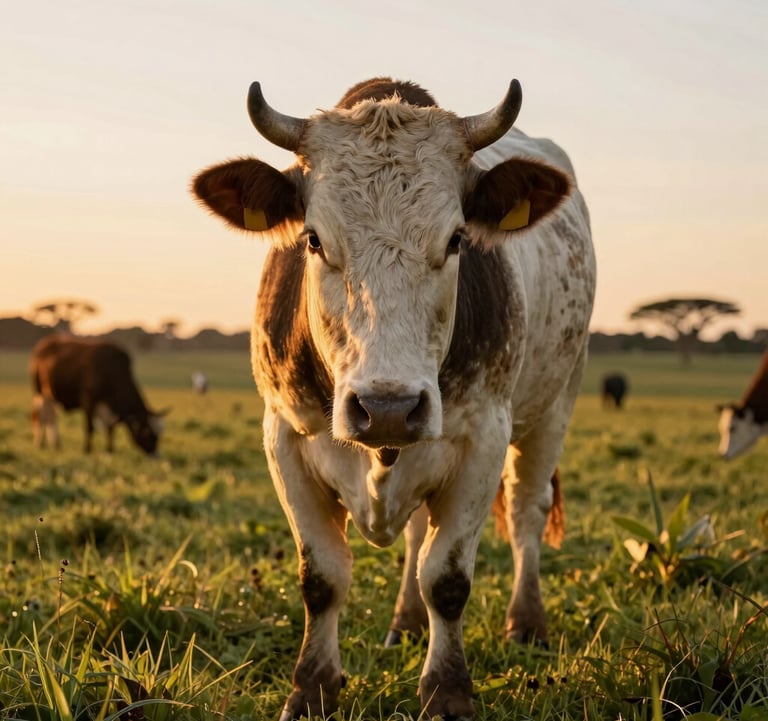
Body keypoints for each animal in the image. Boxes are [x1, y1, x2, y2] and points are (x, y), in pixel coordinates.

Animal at [30, 334, 166, 455]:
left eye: (159, 434)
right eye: (148, 433)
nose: (156, 455)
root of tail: (43, 344)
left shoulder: (106, 407)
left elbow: (110, 428)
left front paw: (110, 450)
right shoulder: (88, 400)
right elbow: (90, 427)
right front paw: (87, 450)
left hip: (51, 395)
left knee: (50, 417)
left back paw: (55, 445)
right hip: (40, 393)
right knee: (43, 417)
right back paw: (42, 444)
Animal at [192, 77, 595, 720]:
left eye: (456, 239)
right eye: (313, 239)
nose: (386, 408)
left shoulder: (483, 438)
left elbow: (447, 578)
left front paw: (447, 692)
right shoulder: (283, 438)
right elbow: (322, 576)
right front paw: (311, 688)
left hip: (555, 405)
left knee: (526, 513)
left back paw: (526, 622)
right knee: (415, 532)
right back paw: (404, 624)